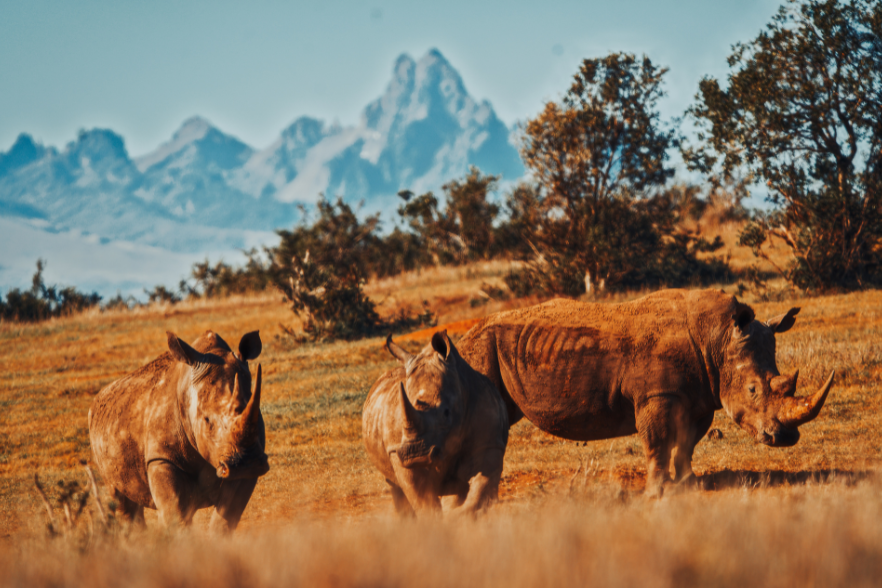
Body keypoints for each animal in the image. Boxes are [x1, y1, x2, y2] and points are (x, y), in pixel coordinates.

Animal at [88, 330, 269, 532]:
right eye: (206, 420)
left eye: (257, 413)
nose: (248, 463)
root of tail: (97, 400)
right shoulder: (162, 457)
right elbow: (175, 514)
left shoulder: (241, 466)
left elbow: (225, 519)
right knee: (122, 501)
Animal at [362, 331, 509, 516]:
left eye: (446, 413)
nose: (415, 454)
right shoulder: (397, 451)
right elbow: (423, 499)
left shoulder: (489, 442)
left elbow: (480, 489)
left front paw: (459, 516)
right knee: (395, 486)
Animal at [456, 289, 835, 496]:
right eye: (754, 389)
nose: (784, 438)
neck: (718, 338)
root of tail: (464, 334)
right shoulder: (657, 395)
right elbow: (658, 443)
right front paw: (657, 492)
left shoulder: (701, 397)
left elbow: (686, 445)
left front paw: (689, 485)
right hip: (480, 350)